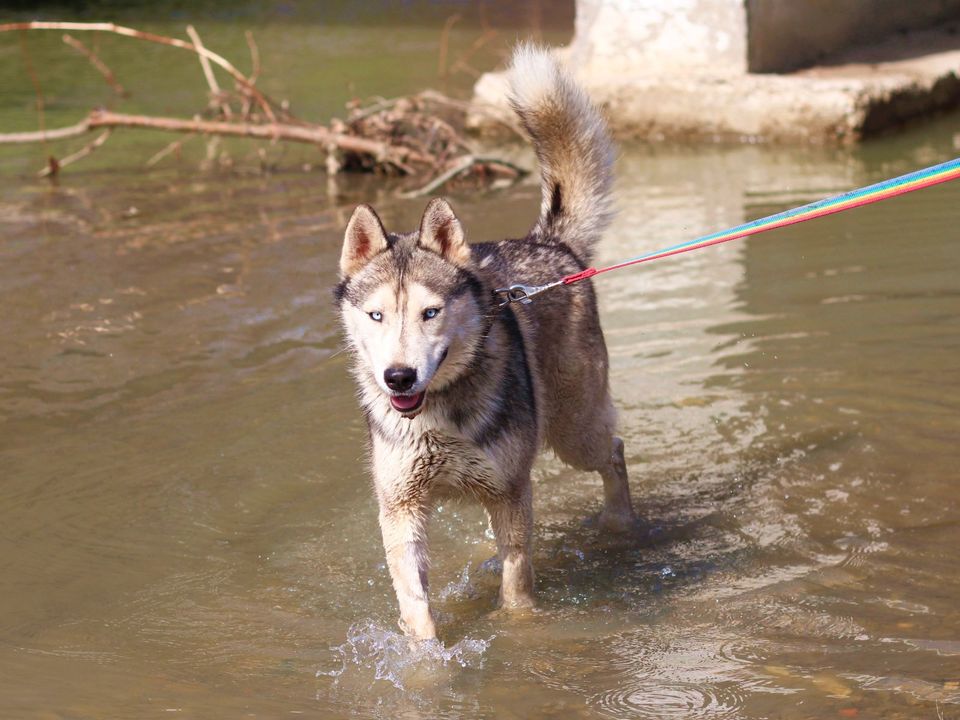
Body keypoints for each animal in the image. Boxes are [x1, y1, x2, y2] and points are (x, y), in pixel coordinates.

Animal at [334, 45, 632, 640]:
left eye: (430, 312)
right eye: (377, 315)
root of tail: (549, 244)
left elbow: (517, 579)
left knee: (613, 451)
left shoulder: (511, 491)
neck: (436, 418)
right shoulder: (401, 507)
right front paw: (426, 654)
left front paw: (519, 624)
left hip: (573, 432)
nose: (398, 377)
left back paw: (620, 525)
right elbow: (414, 600)